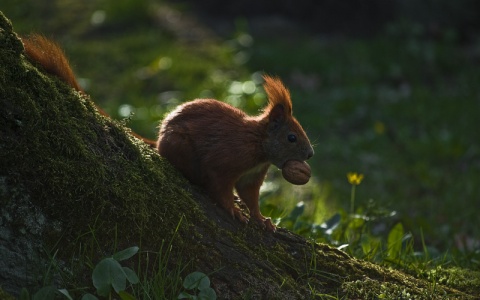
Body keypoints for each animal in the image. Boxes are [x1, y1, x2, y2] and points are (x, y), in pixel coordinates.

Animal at [23, 33, 316, 230]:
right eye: (291, 137)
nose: (310, 154)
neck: (258, 145)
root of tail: (159, 139)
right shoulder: (227, 159)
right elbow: (220, 184)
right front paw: (233, 210)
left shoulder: (252, 176)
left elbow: (251, 196)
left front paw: (261, 219)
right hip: (179, 145)